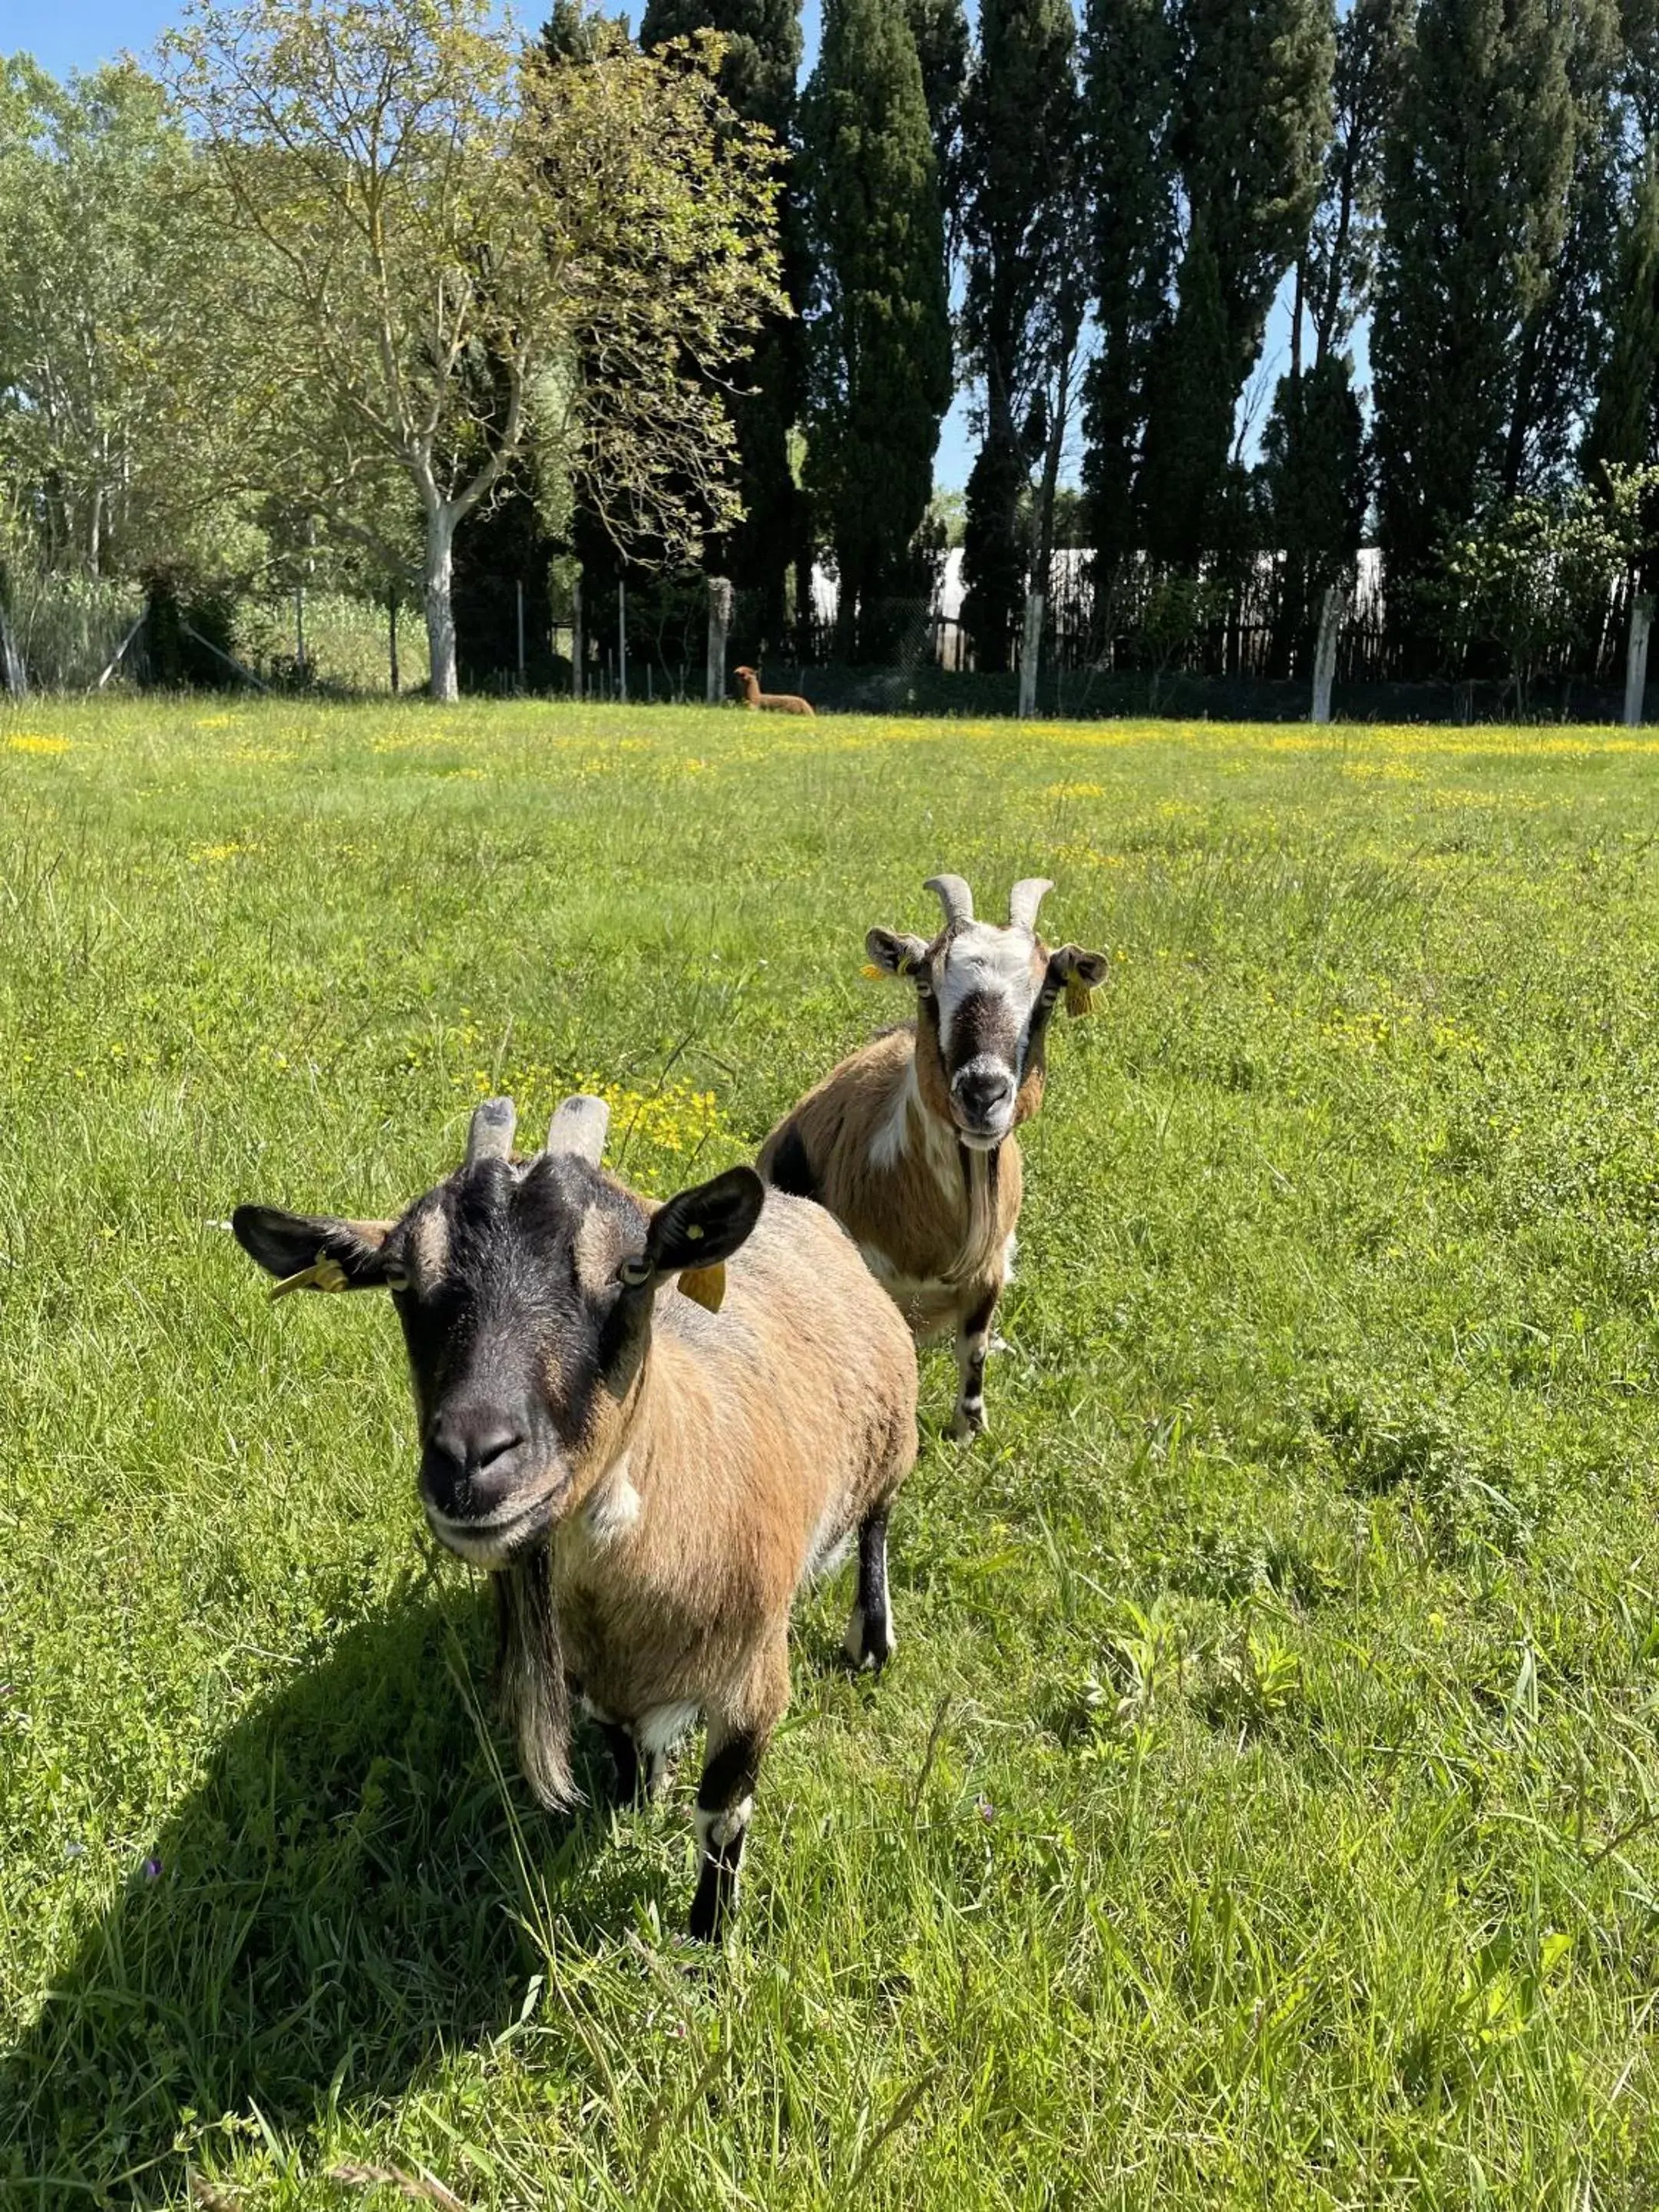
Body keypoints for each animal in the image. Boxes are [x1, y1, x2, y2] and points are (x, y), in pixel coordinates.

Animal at [231, 1093, 924, 1937]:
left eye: (633, 1268)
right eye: (399, 1273)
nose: (471, 1459)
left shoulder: (754, 1679)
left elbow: (722, 1818)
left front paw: (707, 1935)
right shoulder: (590, 1673)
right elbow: (621, 1742)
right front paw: (634, 1801)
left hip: (892, 1441)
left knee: (876, 1521)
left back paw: (872, 1638)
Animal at [765, 871, 1105, 1442]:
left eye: (1048, 994)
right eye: (925, 983)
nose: (982, 1094)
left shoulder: (990, 1270)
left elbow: (974, 1350)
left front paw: (968, 1430)